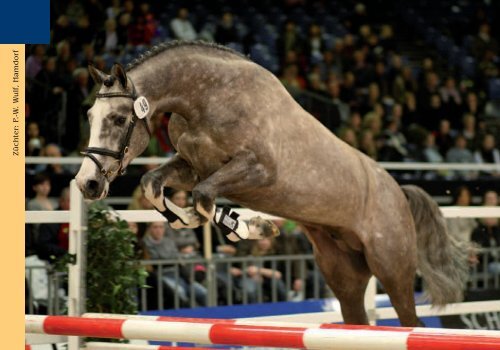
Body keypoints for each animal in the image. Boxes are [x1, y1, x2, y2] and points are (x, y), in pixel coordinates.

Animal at [74, 40, 468, 326]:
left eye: (119, 118)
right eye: (89, 115)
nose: (87, 184)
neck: (207, 97)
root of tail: (399, 192)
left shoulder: (258, 171)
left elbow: (203, 198)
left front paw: (251, 227)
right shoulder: (192, 165)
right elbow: (155, 185)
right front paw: (222, 224)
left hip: (392, 268)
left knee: (410, 320)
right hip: (344, 275)